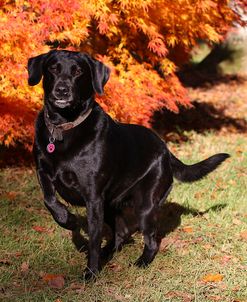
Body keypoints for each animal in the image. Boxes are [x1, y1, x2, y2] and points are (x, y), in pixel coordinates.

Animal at [28, 50, 229, 280]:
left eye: (78, 71)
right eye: (53, 68)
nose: (62, 90)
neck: (64, 128)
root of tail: (165, 149)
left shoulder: (93, 197)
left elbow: (94, 239)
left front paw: (91, 273)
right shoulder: (43, 171)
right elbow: (49, 200)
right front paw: (67, 219)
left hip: (145, 205)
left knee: (151, 240)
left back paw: (141, 262)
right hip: (110, 203)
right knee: (121, 233)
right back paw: (108, 253)